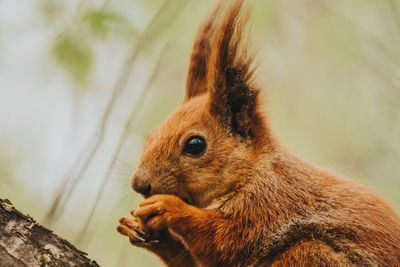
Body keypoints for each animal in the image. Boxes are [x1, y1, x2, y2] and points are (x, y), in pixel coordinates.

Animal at [117, 1, 400, 266]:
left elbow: (225, 243)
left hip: (310, 252)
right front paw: (138, 230)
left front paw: (168, 207)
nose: (139, 184)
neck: (252, 172)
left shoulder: (271, 203)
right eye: (151, 134)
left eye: (195, 145)